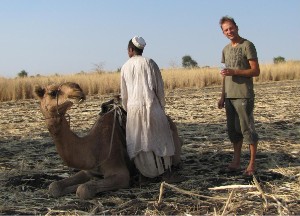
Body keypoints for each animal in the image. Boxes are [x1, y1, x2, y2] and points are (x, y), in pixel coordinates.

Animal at [34, 82, 182, 199]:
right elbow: (54, 186)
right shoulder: (88, 170)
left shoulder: (121, 174)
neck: (93, 148)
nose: (78, 90)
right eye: (52, 92)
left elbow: (83, 189)